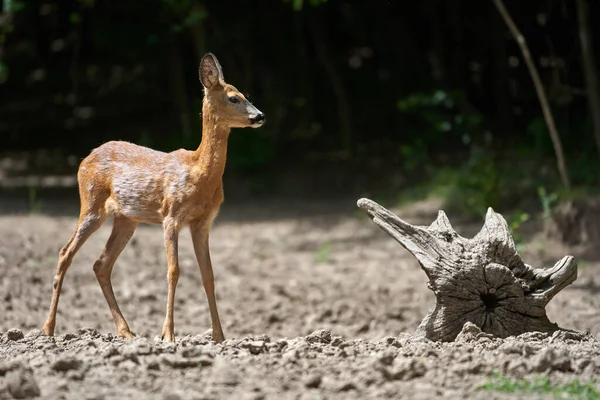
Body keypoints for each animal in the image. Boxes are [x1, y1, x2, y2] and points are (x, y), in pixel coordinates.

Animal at [41, 52, 264, 344]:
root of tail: (84, 159)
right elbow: (174, 271)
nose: (260, 116)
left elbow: (208, 274)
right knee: (65, 252)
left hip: (126, 218)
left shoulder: (203, 222)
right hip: (91, 203)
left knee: (101, 263)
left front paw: (219, 336)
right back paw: (48, 329)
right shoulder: (171, 215)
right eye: (233, 98)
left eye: (244, 94)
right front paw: (168, 334)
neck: (199, 173)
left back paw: (126, 331)